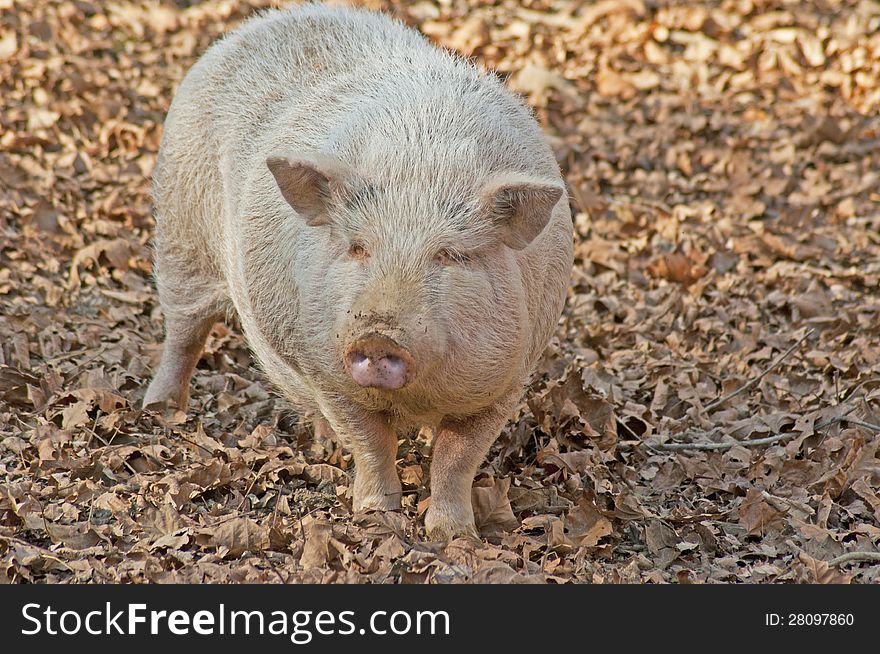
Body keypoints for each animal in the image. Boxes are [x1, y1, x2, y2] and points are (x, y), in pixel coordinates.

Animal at [144, 2, 572, 540]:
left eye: (450, 256)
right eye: (357, 247)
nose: (378, 335)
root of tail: (260, 24)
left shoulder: (509, 379)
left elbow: (457, 458)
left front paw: (454, 535)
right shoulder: (326, 366)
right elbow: (371, 443)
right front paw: (376, 515)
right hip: (179, 234)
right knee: (183, 332)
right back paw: (160, 411)